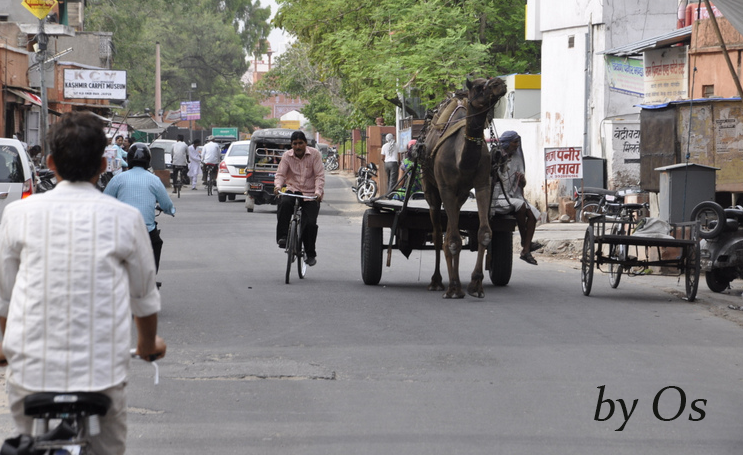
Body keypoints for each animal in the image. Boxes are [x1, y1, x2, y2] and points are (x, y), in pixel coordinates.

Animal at [422, 77, 508, 300]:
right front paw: (453, 287)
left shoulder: (482, 184)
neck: (461, 158)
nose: (499, 83)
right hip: (431, 189)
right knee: (438, 235)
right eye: (478, 86)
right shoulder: (445, 188)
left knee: (452, 232)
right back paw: (437, 282)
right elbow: (451, 239)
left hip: (460, 195)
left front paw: (475, 285)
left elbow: (483, 233)